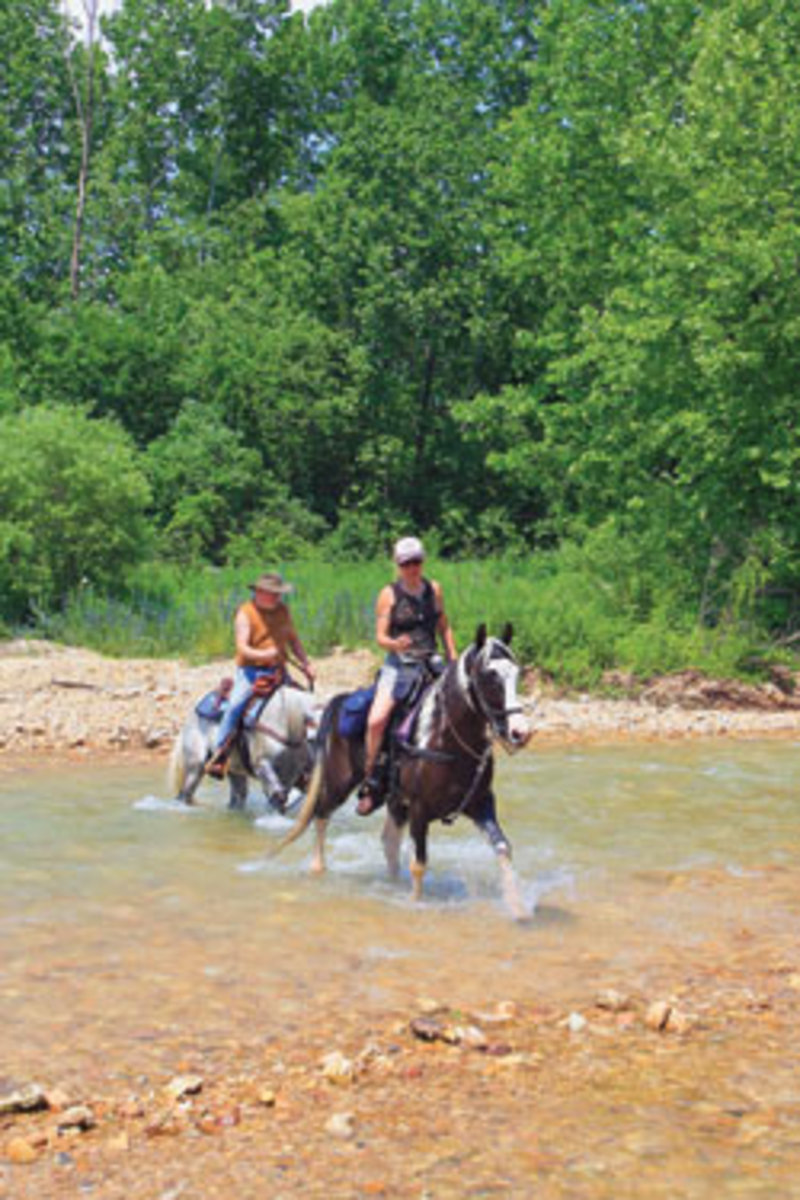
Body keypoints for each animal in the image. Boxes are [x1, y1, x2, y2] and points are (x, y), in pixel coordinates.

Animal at [167, 681, 321, 811]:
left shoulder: (292, 776)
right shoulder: (262, 766)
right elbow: (278, 797)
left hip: (234, 770)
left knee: (237, 797)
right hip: (195, 766)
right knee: (185, 793)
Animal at [275, 628, 532, 916]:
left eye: (517, 673)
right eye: (489, 676)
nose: (520, 732)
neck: (444, 738)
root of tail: (339, 701)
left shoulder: (481, 803)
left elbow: (502, 848)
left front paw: (519, 909)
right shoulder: (420, 810)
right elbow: (419, 864)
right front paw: (415, 904)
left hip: (395, 801)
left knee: (388, 842)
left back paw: (392, 885)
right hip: (340, 783)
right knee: (321, 815)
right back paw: (318, 869)